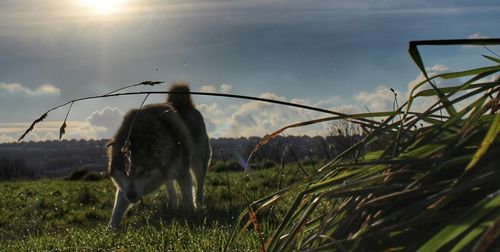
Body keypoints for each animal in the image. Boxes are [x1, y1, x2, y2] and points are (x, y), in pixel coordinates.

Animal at [107, 81, 211, 228]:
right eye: (124, 173)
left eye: (142, 172)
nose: (131, 195)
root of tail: (185, 104)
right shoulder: (123, 187)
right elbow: (116, 211)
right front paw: (109, 230)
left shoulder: (183, 172)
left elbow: (188, 196)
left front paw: (191, 215)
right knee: (170, 185)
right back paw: (172, 205)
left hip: (198, 162)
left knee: (200, 185)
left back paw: (200, 205)